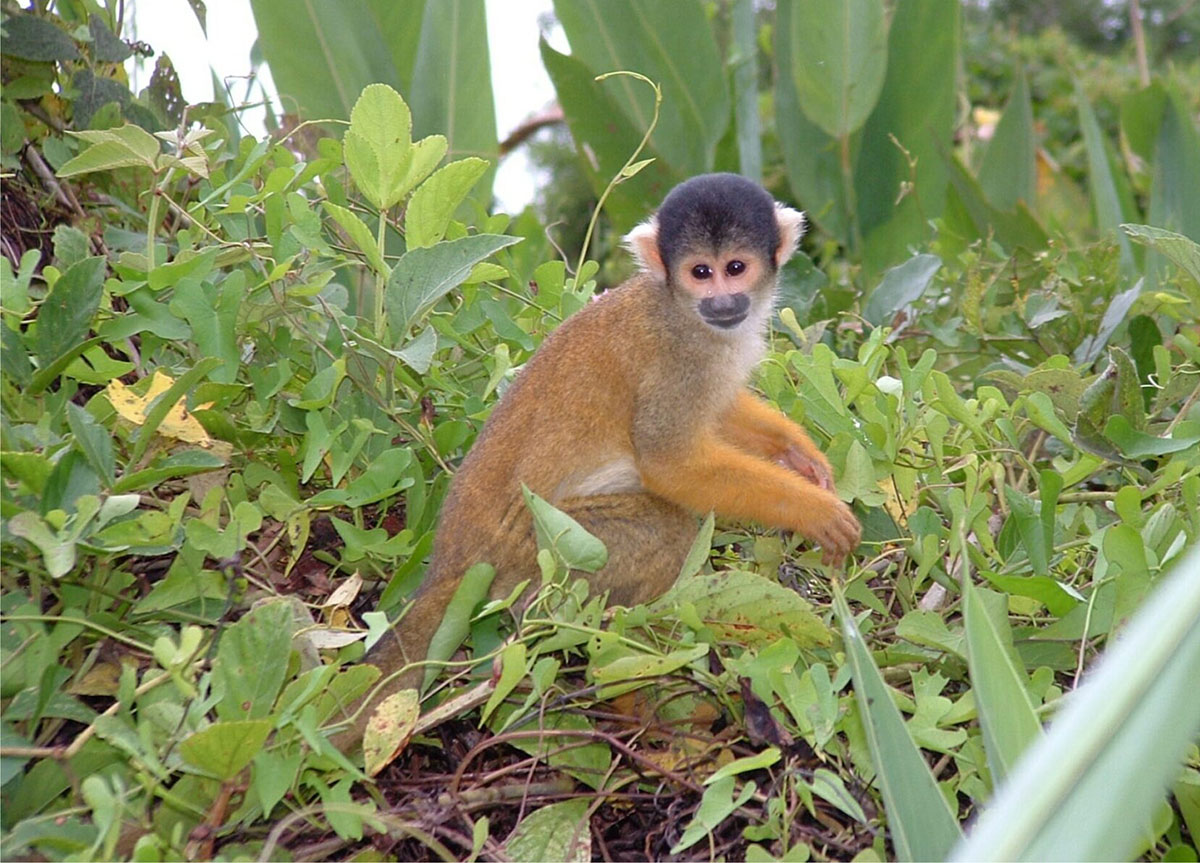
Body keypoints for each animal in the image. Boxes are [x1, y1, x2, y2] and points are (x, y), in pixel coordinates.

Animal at [336, 173, 860, 747]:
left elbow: (717, 417)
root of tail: (453, 559)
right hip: (543, 547)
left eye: (736, 268)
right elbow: (669, 460)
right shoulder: (680, 359)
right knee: (666, 531)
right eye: (700, 272)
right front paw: (812, 510)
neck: (678, 308)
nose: (724, 302)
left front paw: (796, 451)